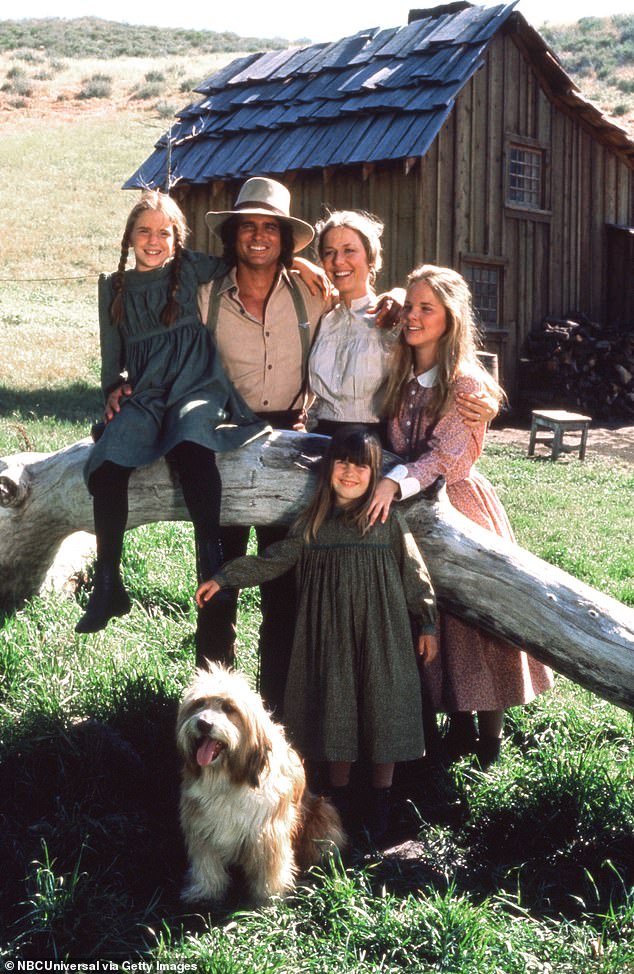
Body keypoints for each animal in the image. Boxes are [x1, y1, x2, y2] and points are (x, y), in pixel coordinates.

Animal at [175, 664, 346, 908]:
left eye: (228, 708)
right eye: (199, 704)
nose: (203, 723)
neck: (227, 779)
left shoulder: (267, 835)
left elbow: (269, 871)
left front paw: (268, 901)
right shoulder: (201, 828)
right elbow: (206, 865)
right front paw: (205, 892)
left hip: (323, 816)